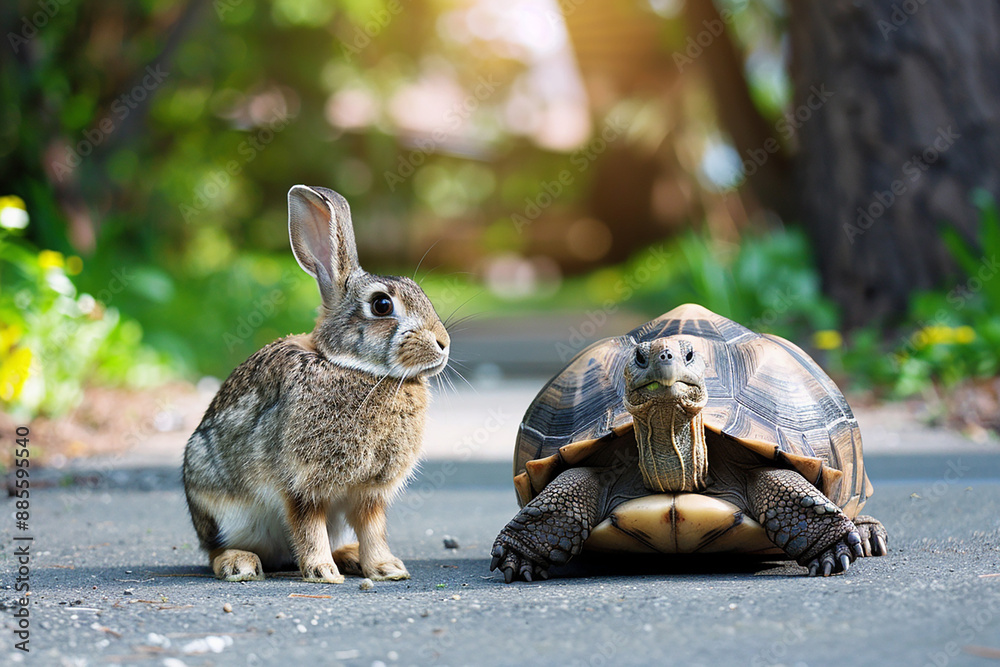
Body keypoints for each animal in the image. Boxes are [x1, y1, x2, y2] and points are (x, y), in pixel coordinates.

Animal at [183, 185, 450, 583]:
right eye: (382, 305)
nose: (443, 344)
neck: (352, 367)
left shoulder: (370, 492)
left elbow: (373, 528)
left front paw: (386, 568)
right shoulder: (301, 483)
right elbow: (308, 526)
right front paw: (322, 572)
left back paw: (349, 557)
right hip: (218, 504)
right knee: (215, 550)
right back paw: (239, 563)